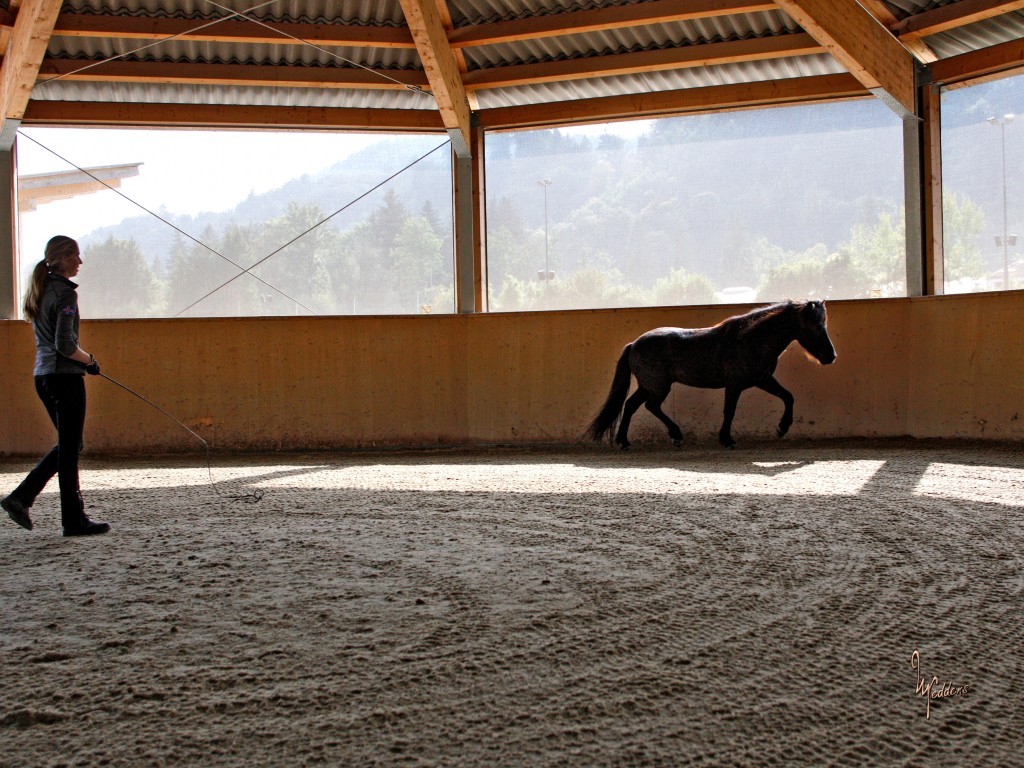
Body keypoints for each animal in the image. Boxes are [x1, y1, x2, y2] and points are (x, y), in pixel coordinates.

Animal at [589, 296, 835, 448]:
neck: (751, 339)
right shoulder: (734, 385)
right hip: (658, 387)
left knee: (631, 405)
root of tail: (634, 344)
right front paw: (727, 440)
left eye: (825, 324)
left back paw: (625, 441)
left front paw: (782, 428)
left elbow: (788, 397)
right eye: (814, 326)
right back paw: (675, 435)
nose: (830, 356)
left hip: (648, 386)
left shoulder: (762, 379)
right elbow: (729, 411)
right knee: (650, 406)